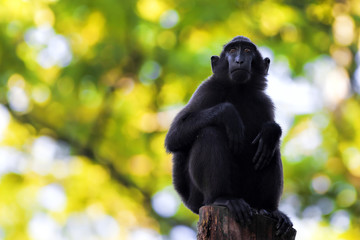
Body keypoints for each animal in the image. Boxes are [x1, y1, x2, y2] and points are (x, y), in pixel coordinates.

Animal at [165, 35, 294, 236]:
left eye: (247, 50)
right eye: (232, 50)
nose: (239, 60)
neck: (238, 90)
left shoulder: (264, 101)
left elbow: (269, 133)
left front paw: (271, 129)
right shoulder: (207, 89)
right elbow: (174, 137)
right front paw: (229, 114)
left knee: (270, 148)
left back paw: (271, 210)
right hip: (199, 196)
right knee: (209, 133)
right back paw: (224, 198)